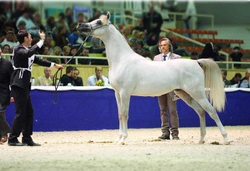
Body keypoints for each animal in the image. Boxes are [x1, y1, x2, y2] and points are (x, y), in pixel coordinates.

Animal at [76, 12, 230, 144]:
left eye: (98, 22)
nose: (79, 26)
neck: (122, 59)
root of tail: (196, 62)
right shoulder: (117, 94)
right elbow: (120, 115)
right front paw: (119, 138)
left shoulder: (125, 93)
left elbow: (125, 114)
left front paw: (123, 139)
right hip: (185, 94)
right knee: (201, 112)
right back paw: (201, 139)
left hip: (198, 93)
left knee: (212, 111)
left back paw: (225, 138)